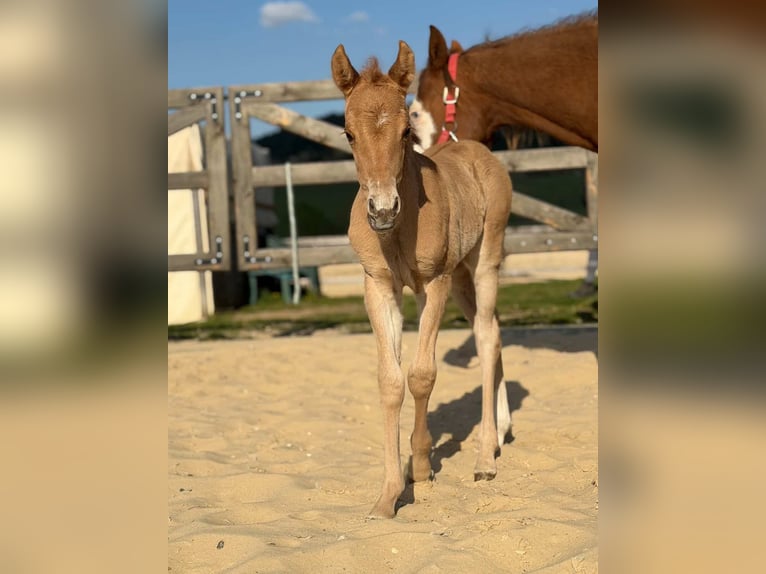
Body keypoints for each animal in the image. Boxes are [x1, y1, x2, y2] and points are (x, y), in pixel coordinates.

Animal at [331, 40, 514, 518]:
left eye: (405, 133)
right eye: (348, 134)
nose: (381, 210)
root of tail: (476, 150)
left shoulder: (435, 283)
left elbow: (422, 375)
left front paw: (419, 464)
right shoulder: (379, 287)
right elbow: (391, 380)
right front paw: (389, 494)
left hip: (482, 263)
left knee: (486, 337)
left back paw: (485, 456)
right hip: (463, 278)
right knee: (493, 332)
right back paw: (502, 430)